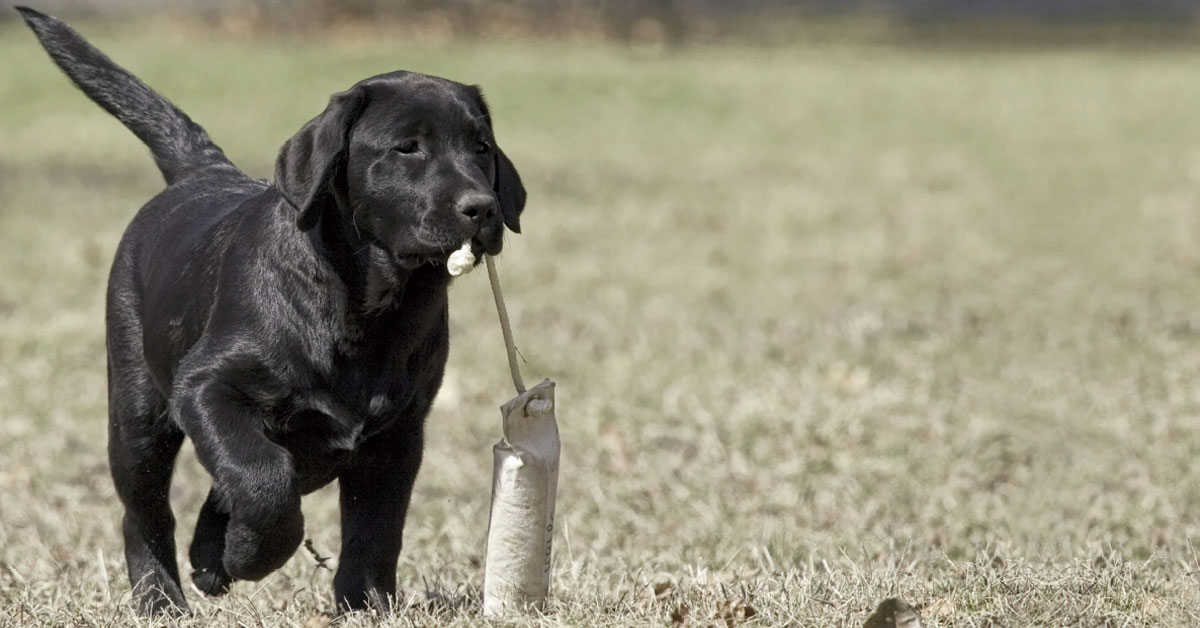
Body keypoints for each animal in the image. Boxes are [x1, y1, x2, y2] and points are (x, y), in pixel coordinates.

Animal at [14, 7, 520, 614]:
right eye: (408, 148)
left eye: (482, 148)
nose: (482, 208)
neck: (369, 308)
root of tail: (204, 173)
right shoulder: (206, 386)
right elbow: (260, 478)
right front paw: (247, 556)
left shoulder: (398, 435)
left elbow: (376, 528)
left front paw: (365, 603)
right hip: (138, 414)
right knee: (145, 511)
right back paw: (161, 597)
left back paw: (208, 558)